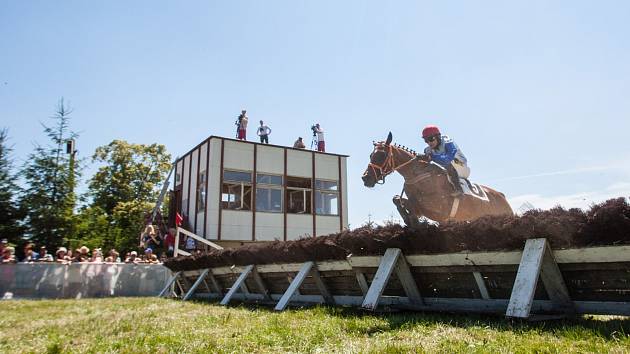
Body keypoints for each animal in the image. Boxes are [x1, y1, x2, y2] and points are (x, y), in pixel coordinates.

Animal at [362, 133, 516, 227]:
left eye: (382, 155)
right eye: (371, 155)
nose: (366, 178)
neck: (417, 176)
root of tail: (502, 197)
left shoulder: (436, 210)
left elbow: (412, 205)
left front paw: (413, 222)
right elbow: (397, 199)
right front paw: (408, 219)